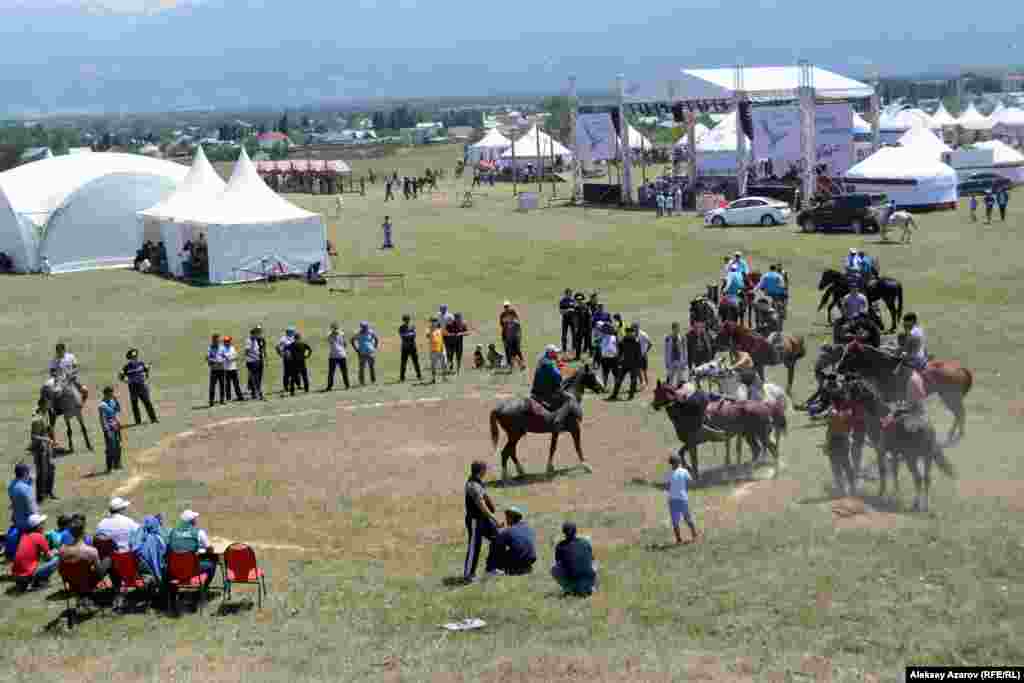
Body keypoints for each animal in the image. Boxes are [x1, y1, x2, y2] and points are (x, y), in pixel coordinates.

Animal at [835, 342, 970, 448]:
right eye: (844, 352)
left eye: (850, 354)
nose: (838, 368)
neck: (885, 369)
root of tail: (960, 368)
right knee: (958, 413)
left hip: (950, 397)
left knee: (960, 413)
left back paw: (954, 435)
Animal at [843, 378, 954, 511]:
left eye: (852, 387)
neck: (881, 415)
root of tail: (926, 427)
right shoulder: (895, 453)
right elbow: (895, 473)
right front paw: (894, 496)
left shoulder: (881, 451)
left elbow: (883, 472)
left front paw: (881, 495)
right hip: (927, 458)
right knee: (926, 478)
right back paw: (925, 505)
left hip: (911, 458)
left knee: (918, 478)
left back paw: (916, 504)